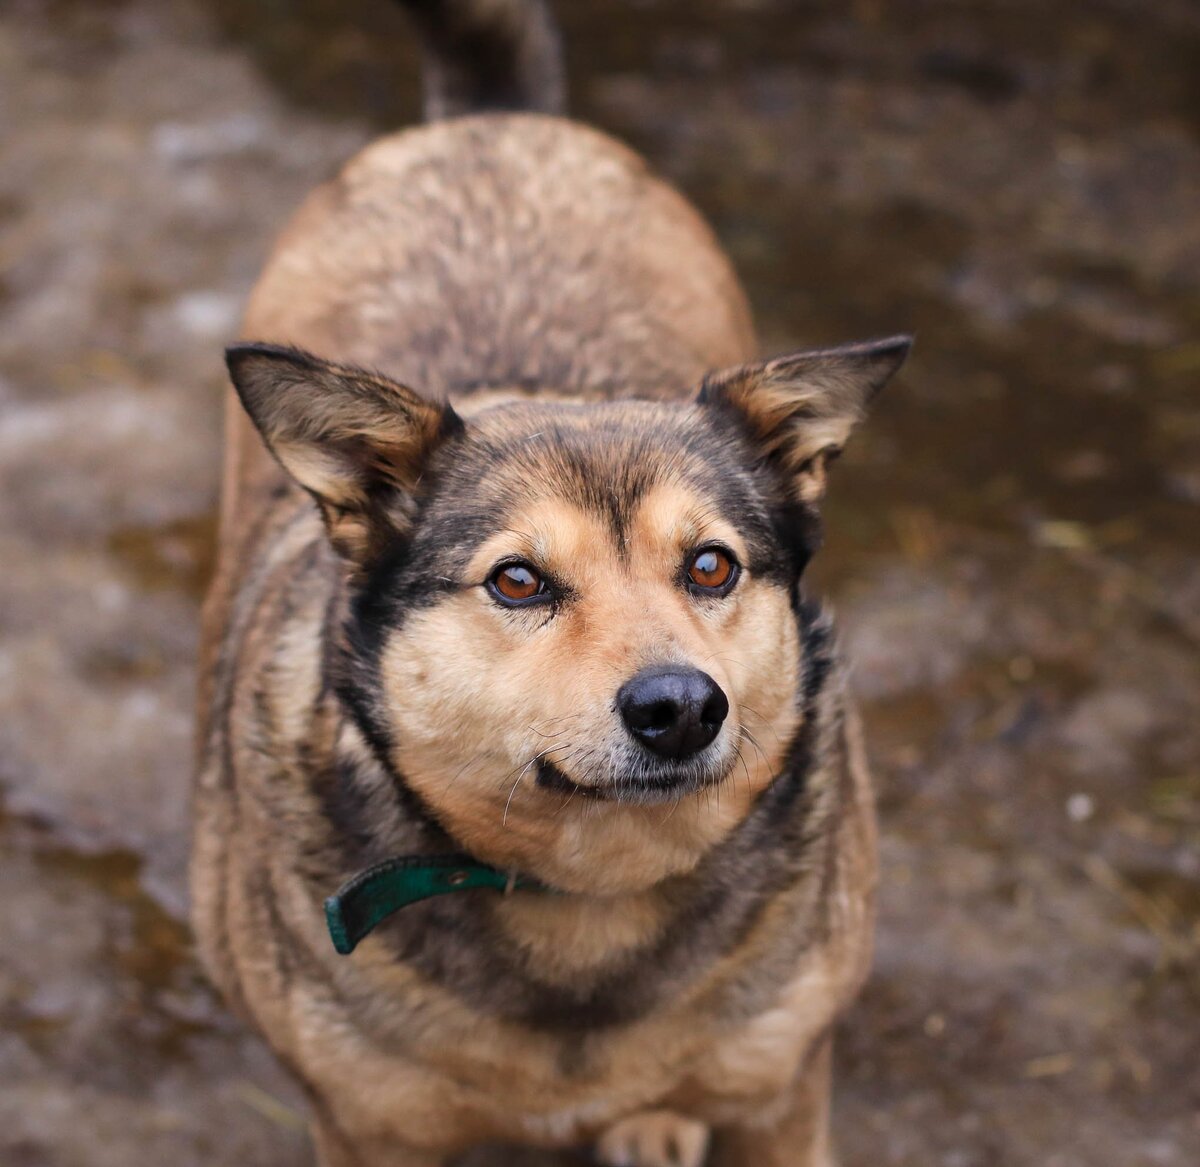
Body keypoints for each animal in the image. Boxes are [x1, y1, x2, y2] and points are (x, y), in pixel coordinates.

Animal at [192, 2, 912, 1167]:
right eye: (519, 581)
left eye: (711, 565)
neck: (588, 889)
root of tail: (491, 121)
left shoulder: (783, 1092)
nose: (681, 708)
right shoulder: (365, 1128)